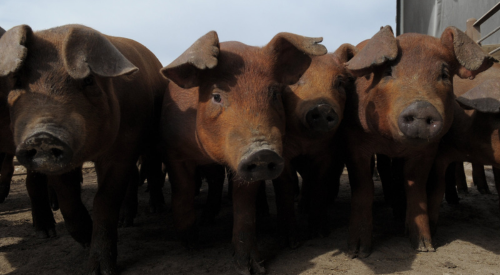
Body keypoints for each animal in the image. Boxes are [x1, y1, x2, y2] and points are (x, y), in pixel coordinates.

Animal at [0, 24, 167, 274]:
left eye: (88, 80)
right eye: (18, 81)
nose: (42, 136)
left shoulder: (123, 149)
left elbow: (104, 200)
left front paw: (100, 270)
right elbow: (69, 201)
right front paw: (86, 240)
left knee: (152, 169)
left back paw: (153, 210)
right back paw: (49, 234)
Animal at [158, 31, 326, 274]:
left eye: (274, 94)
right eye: (216, 96)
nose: (262, 153)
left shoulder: (245, 167)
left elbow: (244, 208)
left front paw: (251, 268)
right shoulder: (174, 151)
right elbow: (183, 191)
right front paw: (190, 245)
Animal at [340, 25, 492, 258]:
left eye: (444, 75)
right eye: (388, 72)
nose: (422, 108)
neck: (393, 143)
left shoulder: (428, 150)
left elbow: (416, 188)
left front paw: (424, 246)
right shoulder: (354, 142)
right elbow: (363, 187)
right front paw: (357, 252)